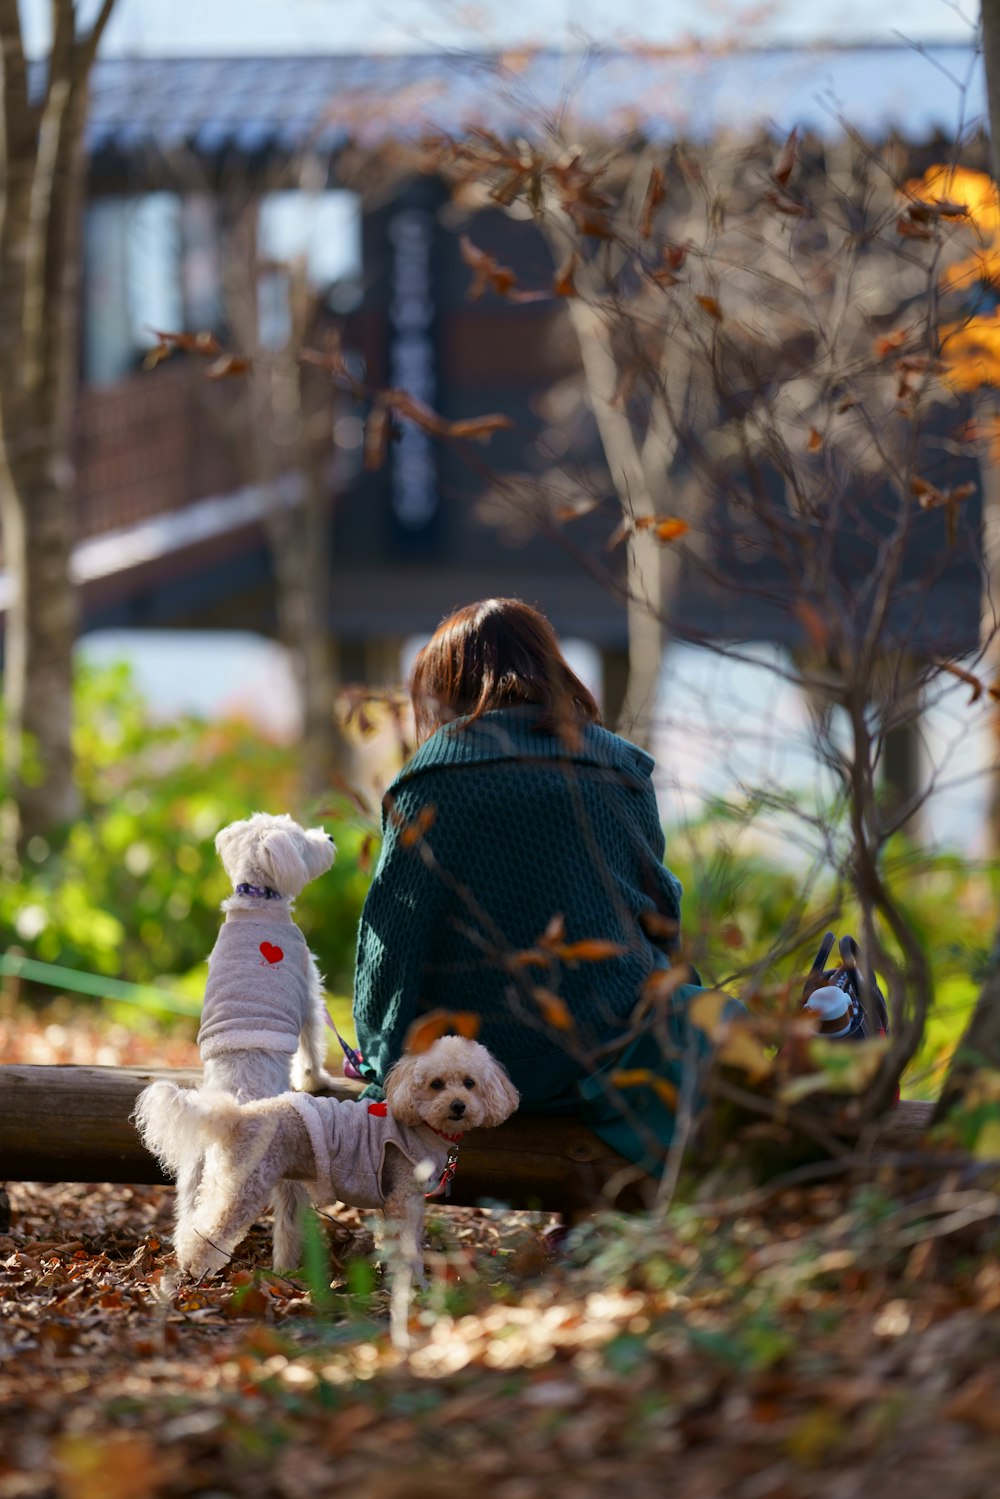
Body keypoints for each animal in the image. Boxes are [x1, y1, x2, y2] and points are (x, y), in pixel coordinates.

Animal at [131, 1037, 515, 1283]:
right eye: (436, 1084)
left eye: (469, 1083)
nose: (458, 1106)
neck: (420, 1127)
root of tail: (235, 1116)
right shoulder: (403, 1195)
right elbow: (407, 1245)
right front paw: (414, 1284)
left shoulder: (397, 1199)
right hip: (245, 1185)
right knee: (208, 1230)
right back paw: (195, 1270)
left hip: (224, 1179)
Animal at [134, 815, 338, 1271]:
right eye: (304, 841)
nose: (331, 837)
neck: (258, 898)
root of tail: (229, 1110)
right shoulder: (308, 987)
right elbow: (312, 1039)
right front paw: (315, 1078)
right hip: (279, 1170)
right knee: (284, 1218)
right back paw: (286, 1268)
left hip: (194, 1171)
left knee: (190, 1218)